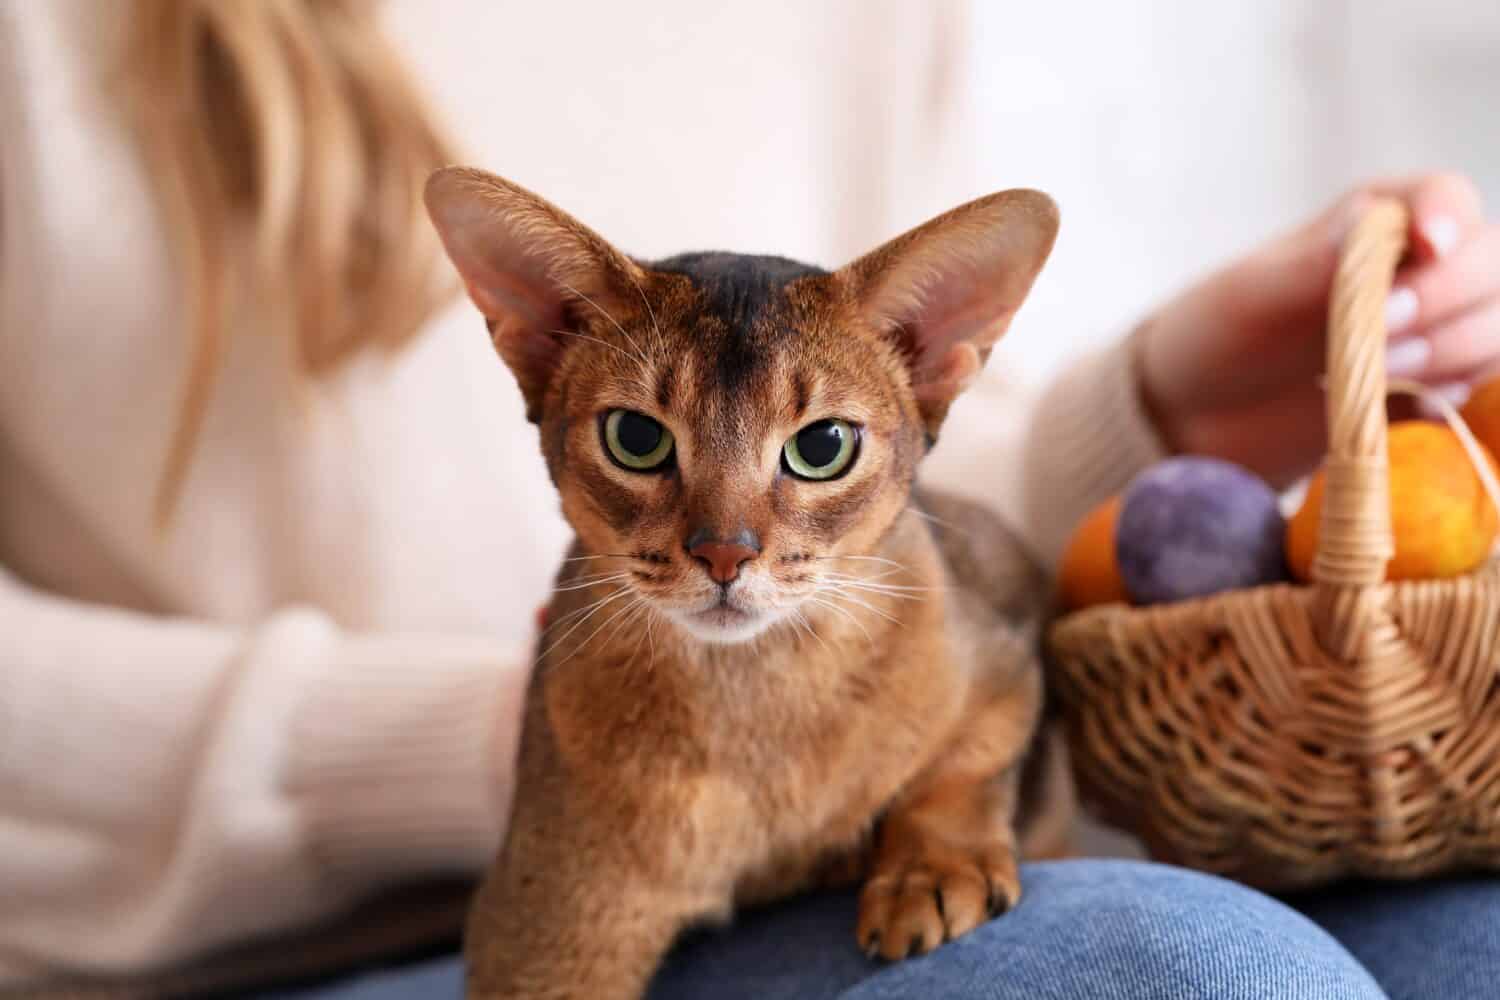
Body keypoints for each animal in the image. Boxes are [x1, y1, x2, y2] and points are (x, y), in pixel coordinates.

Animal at [429, 167, 1074, 995]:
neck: (754, 709)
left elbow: (968, 765)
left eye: (823, 445)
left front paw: (930, 872)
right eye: (634, 438)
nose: (724, 555)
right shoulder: (540, 930)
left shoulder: (1002, 665)